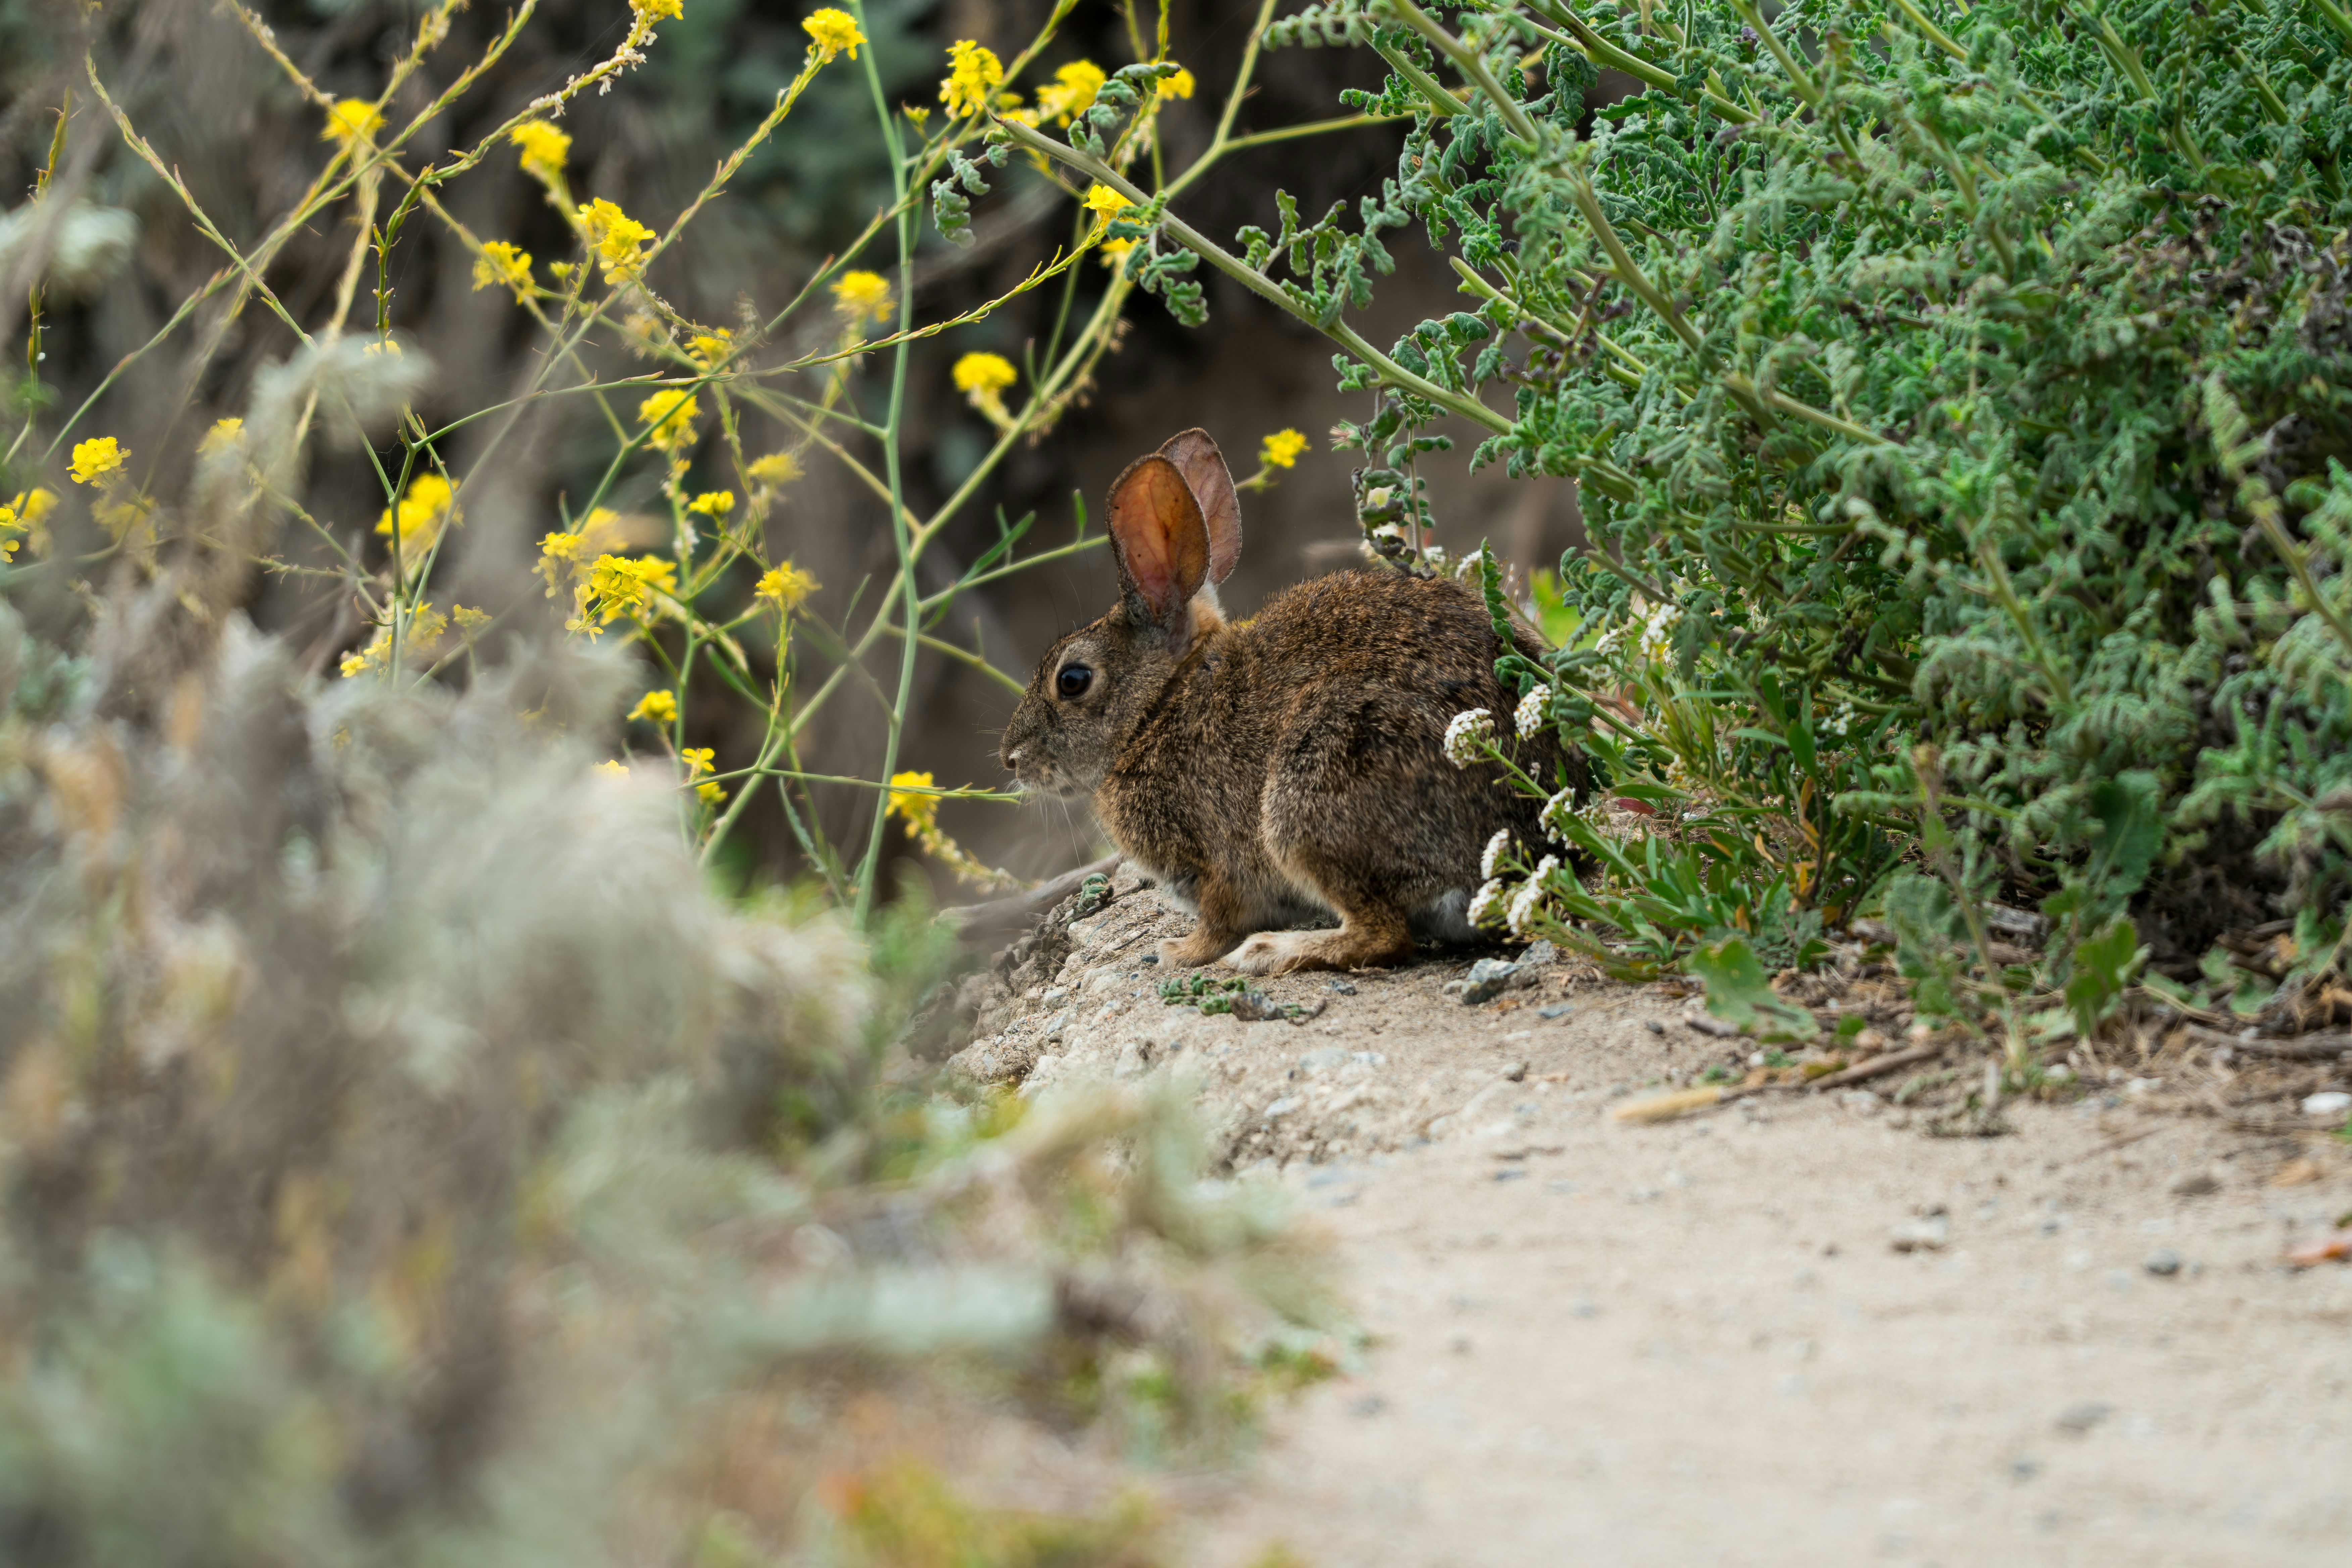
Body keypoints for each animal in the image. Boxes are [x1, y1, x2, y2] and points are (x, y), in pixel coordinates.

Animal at [999, 428, 1583, 975]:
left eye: (1073, 680)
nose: (1011, 760)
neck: (1157, 709)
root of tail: (1529, 855)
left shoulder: (1215, 860)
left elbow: (1218, 922)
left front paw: (1180, 952)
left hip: (1311, 794)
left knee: (1385, 935)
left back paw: (1270, 952)